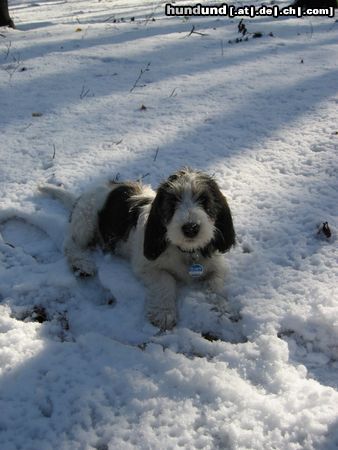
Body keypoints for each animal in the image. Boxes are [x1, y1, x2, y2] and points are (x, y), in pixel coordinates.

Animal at [39, 167, 235, 328]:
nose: (191, 228)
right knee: (70, 243)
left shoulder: (217, 265)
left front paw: (220, 308)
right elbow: (166, 279)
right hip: (86, 220)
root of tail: (81, 196)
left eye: (205, 200)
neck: (186, 252)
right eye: (172, 203)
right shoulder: (146, 266)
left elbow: (216, 283)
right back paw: (81, 263)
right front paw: (163, 313)